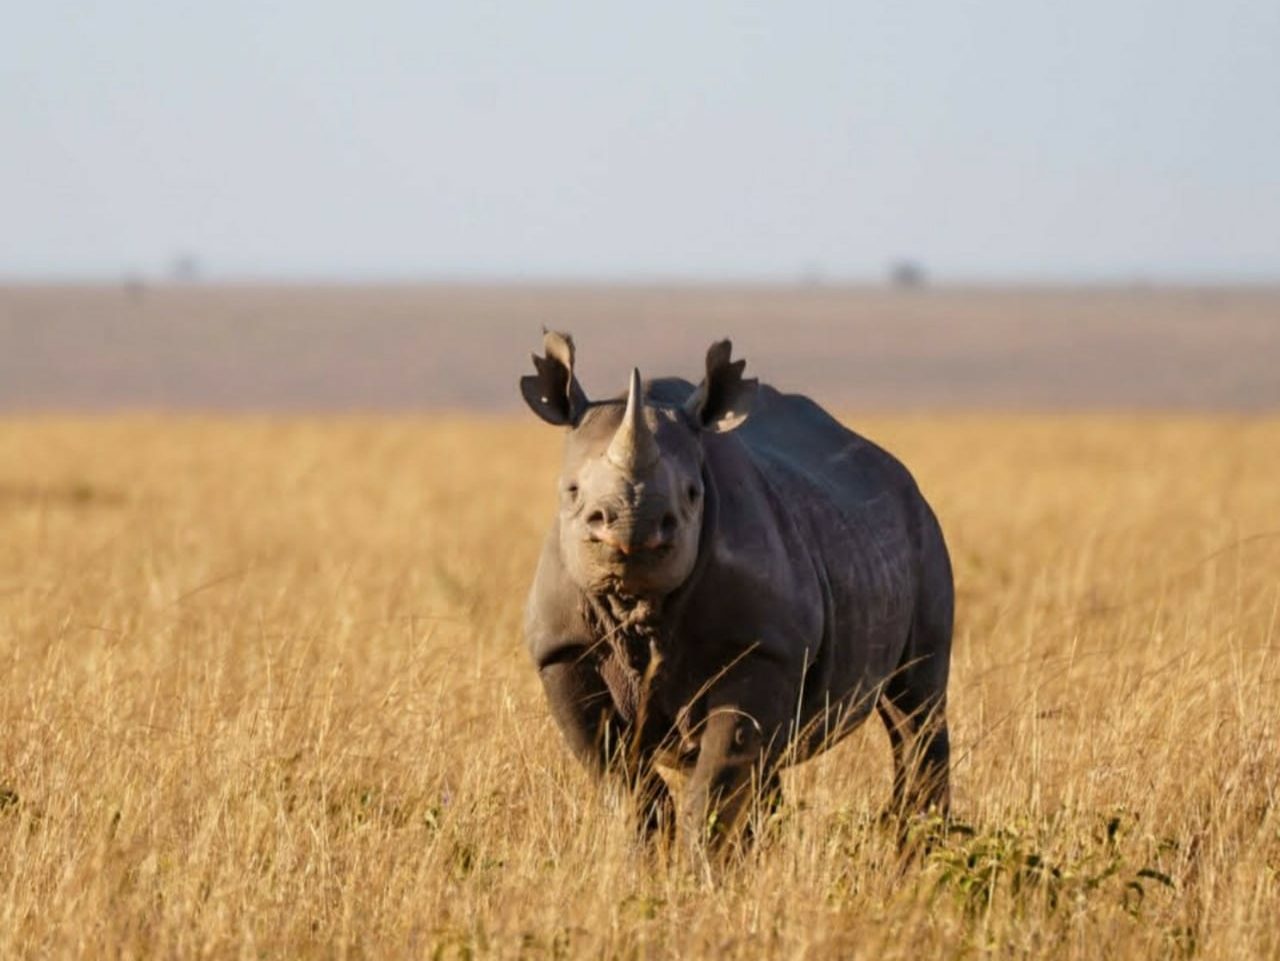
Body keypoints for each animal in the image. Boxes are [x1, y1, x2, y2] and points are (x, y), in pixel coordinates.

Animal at [520, 331, 953, 850]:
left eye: (692, 495)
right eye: (571, 491)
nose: (632, 530)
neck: (636, 603)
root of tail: (897, 471)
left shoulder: (762, 647)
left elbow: (717, 782)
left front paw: (700, 863)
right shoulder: (563, 650)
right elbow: (623, 780)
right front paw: (649, 855)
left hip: (922, 532)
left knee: (916, 707)